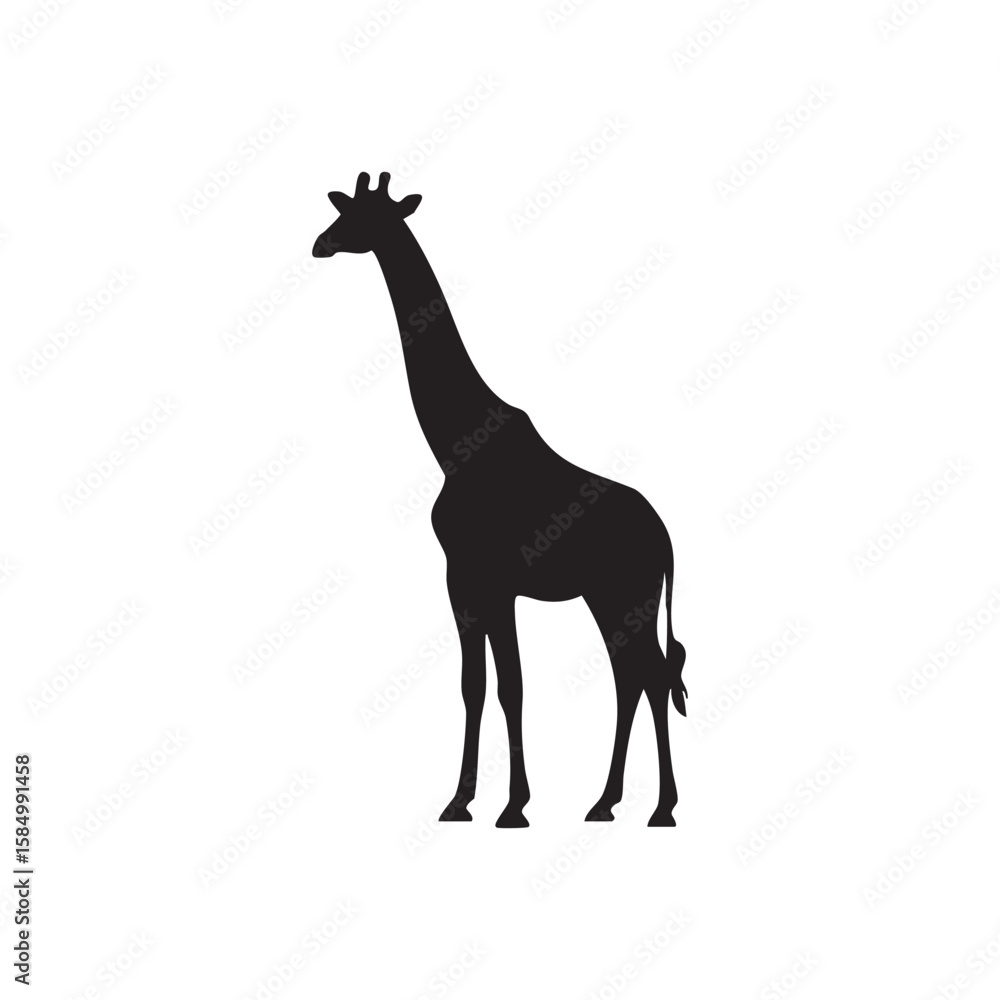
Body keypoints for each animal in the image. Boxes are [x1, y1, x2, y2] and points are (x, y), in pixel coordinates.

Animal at [313, 172, 687, 827]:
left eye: (361, 218)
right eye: (345, 211)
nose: (320, 243)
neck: (455, 442)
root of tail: (665, 539)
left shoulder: (487, 578)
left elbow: (508, 685)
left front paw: (512, 806)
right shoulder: (467, 581)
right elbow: (476, 685)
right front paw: (461, 801)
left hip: (627, 594)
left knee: (653, 675)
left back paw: (660, 808)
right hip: (610, 598)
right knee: (634, 677)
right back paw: (607, 802)